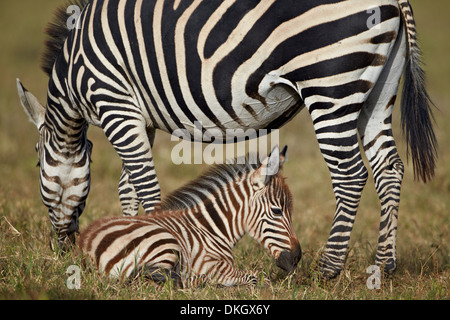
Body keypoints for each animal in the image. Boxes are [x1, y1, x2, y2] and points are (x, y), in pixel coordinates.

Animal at [78, 146, 300, 288]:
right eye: (277, 211)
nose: (297, 258)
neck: (211, 229)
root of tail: (86, 244)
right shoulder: (212, 264)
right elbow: (257, 278)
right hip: (165, 242)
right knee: (148, 276)